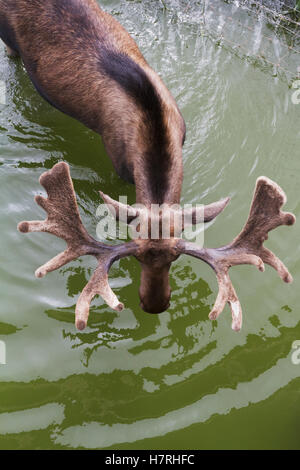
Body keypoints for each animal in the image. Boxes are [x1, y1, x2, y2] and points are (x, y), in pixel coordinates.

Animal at [0, 0, 296, 330]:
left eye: (174, 257)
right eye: (137, 257)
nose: (154, 305)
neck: (155, 132)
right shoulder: (117, 165)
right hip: (8, 39)